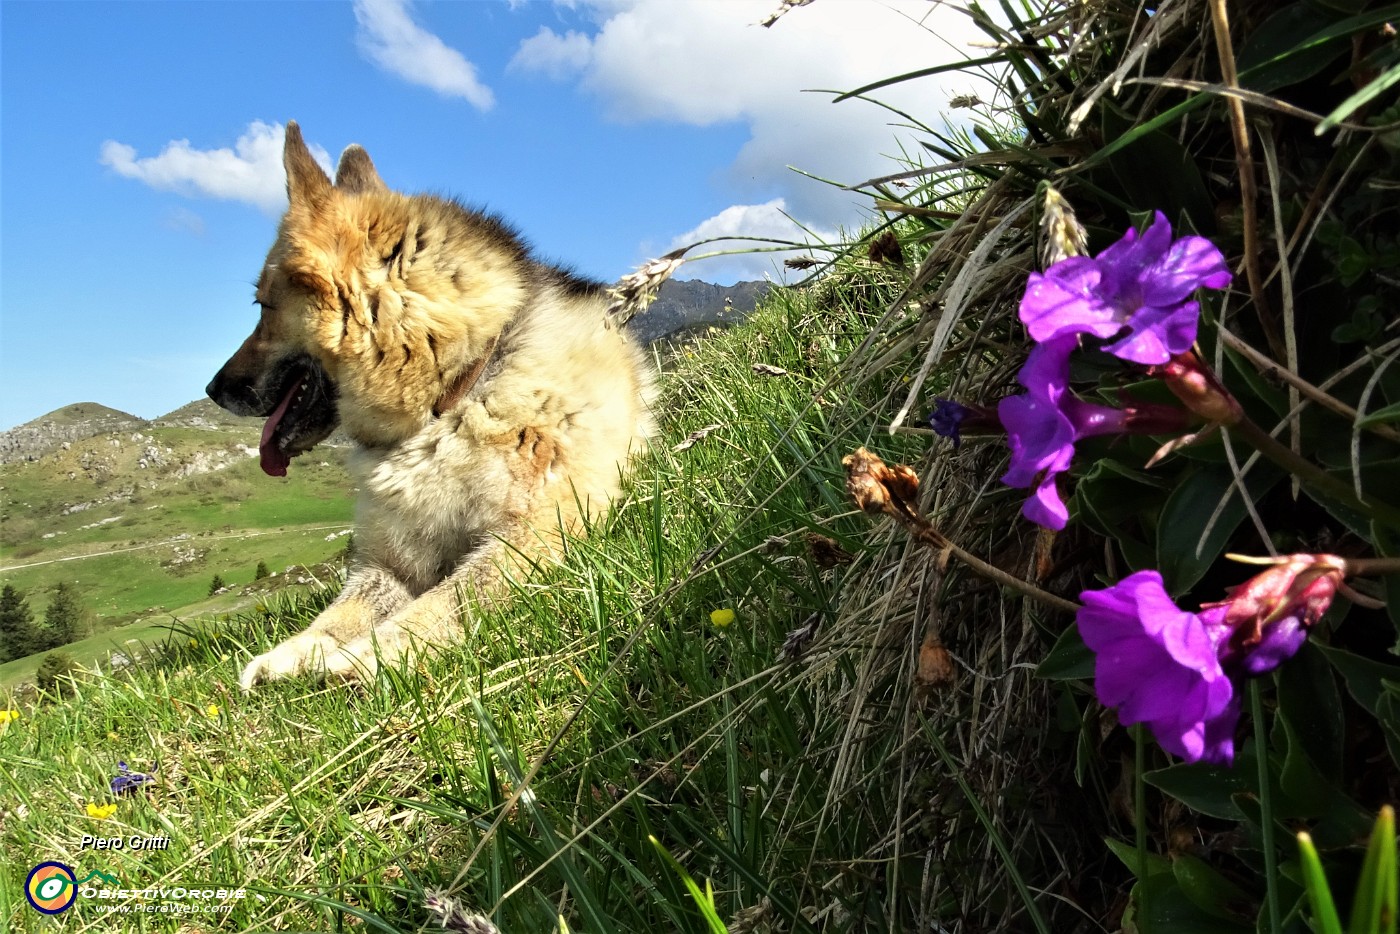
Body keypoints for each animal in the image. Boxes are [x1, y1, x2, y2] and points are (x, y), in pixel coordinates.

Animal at [205, 122, 655, 694]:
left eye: (262, 307)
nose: (213, 388)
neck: (450, 403)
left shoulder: (537, 534)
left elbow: (449, 598)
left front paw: (364, 657)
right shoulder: (390, 564)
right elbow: (339, 612)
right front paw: (291, 654)